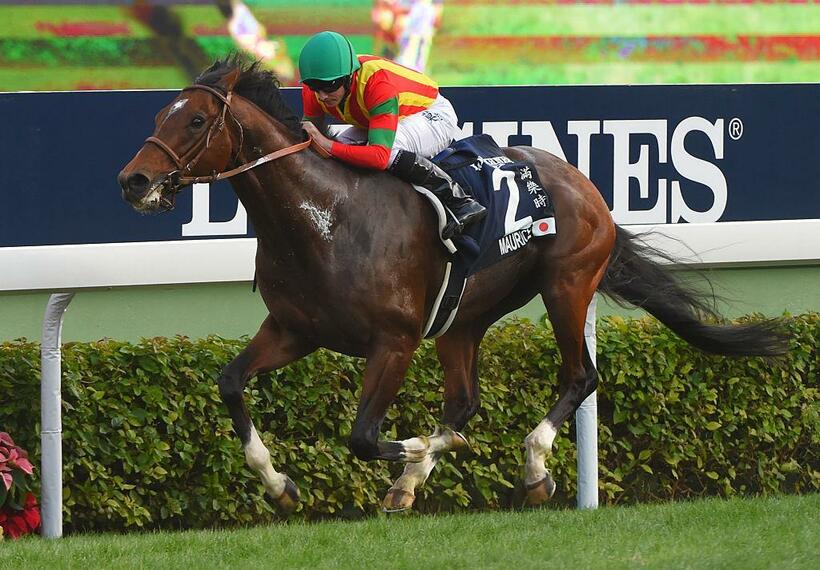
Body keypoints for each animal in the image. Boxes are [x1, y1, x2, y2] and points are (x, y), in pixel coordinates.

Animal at [117, 60, 788, 512]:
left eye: (196, 119)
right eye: (157, 116)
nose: (133, 180)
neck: (324, 218)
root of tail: (584, 183)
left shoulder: (394, 341)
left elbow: (363, 437)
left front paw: (418, 454)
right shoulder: (294, 329)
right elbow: (231, 383)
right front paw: (281, 484)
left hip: (567, 285)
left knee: (580, 376)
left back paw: (532, 467)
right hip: (463, 317)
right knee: (464, 399)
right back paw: (421, 477)